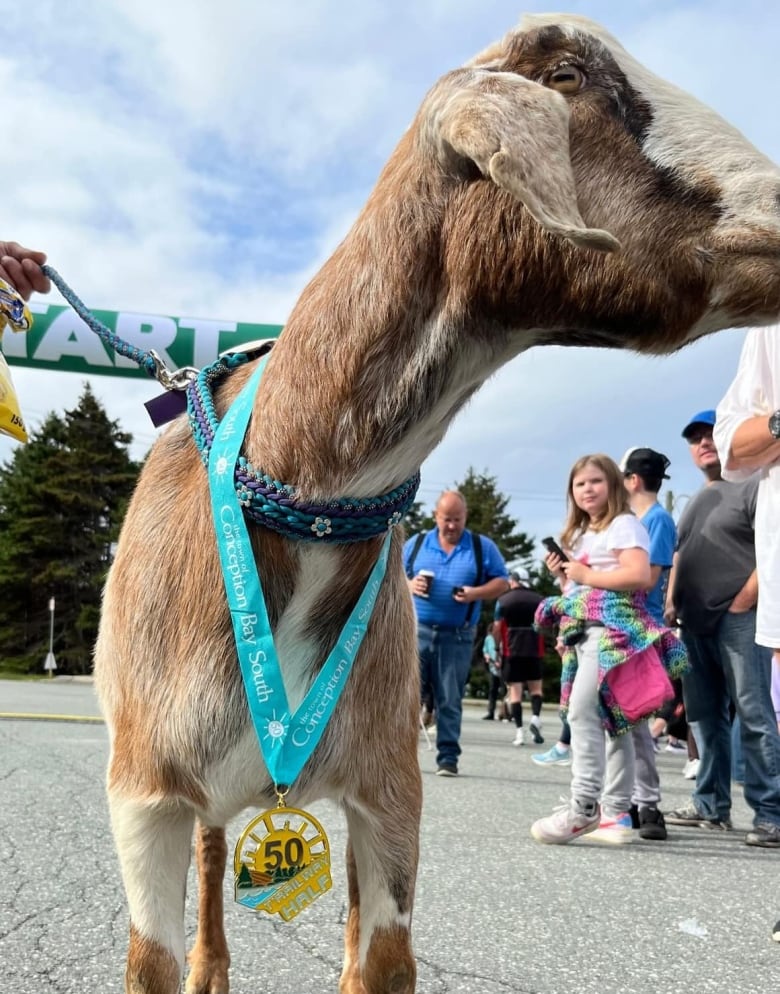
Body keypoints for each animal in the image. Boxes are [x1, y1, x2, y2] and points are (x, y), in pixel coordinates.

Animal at [94, 13, 780, 992]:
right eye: (567, 76)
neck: (300, 497)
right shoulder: (140, 794)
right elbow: (148, 956)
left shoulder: (389, 789)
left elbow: (379, 956)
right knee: (213, 857)